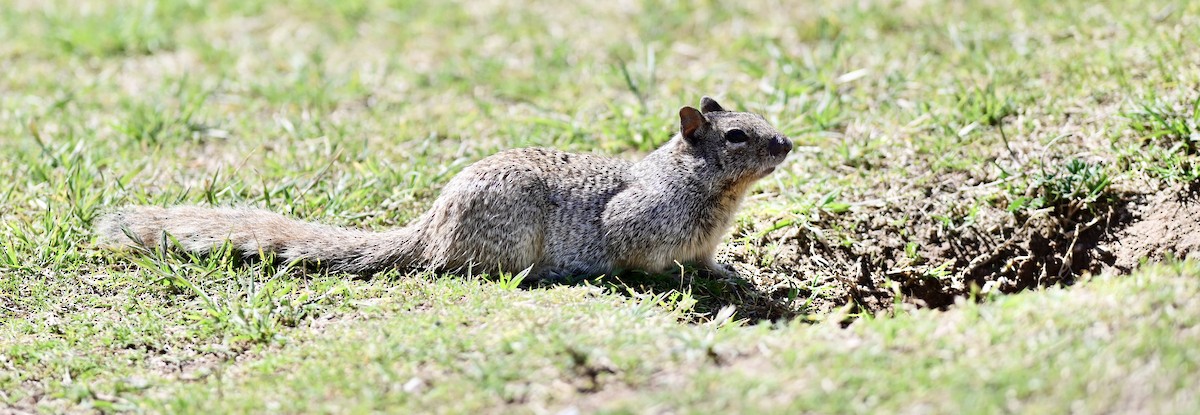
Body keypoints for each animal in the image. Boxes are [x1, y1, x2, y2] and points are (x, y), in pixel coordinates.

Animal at [96, 97, 793, 280]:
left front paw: (727, 274)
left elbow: (710, 260)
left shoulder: (705, 238)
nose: (786, 143)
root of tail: (430, 230)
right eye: (737, 136)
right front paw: (674, 279)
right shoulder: (640, 225)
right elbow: (646, 258)